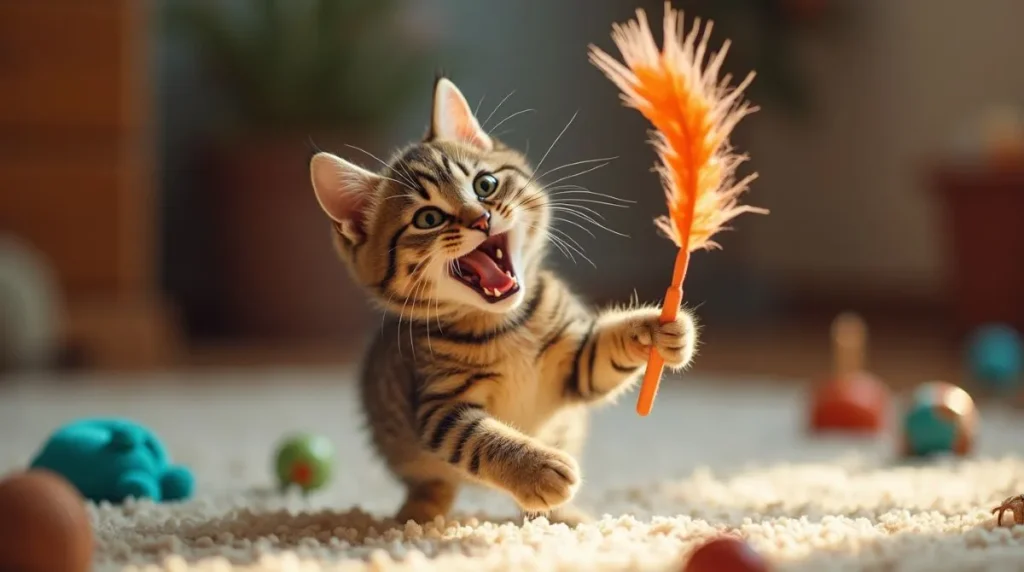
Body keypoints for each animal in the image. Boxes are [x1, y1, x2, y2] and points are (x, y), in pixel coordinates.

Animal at [307, 77, 700, 528]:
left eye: (485, 185)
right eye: (428, 218)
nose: (481, 218)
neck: (507, 324)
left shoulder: (576, 365)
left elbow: (605, 355)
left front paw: (661, 331)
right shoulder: (439, 408)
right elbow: (480, 438)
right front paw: (537, 468)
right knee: (434, 483)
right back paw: (419, 513)